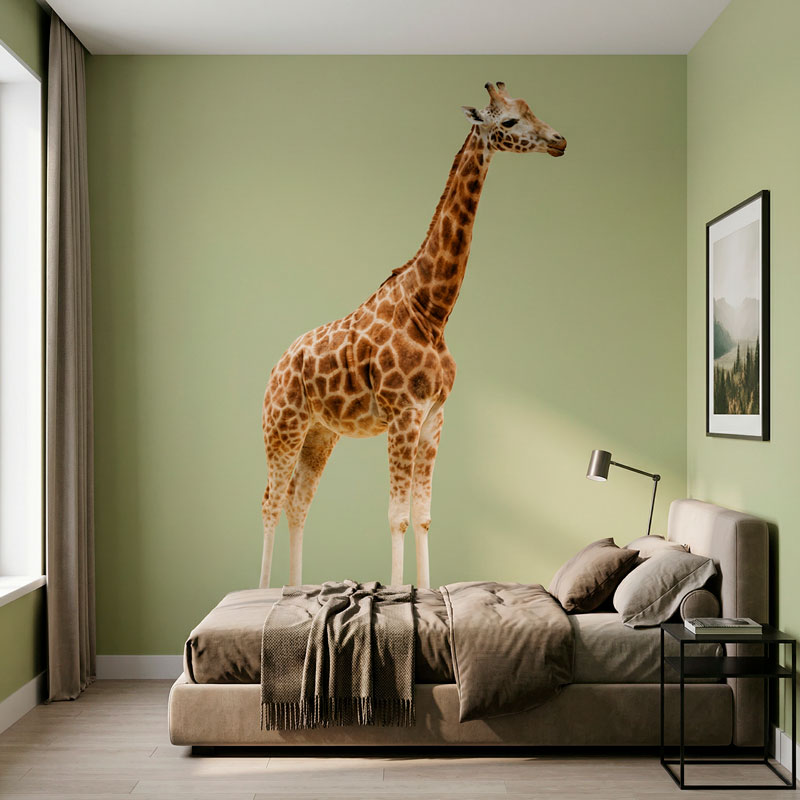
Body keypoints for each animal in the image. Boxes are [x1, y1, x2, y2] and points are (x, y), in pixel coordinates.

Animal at [260, 81, 566, 589]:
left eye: (531, 110)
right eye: (508, 121)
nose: (559, 141)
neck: (431, 310)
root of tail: (277, 365)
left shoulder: (434, 419)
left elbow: (422, 517)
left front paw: (425, 591)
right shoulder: (403, 415)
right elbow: (397, 517)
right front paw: (400, 595)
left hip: (320, 433)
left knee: (298, 502)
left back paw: (294, 590)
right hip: (282, 426)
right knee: (269, 501)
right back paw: (263, 592)